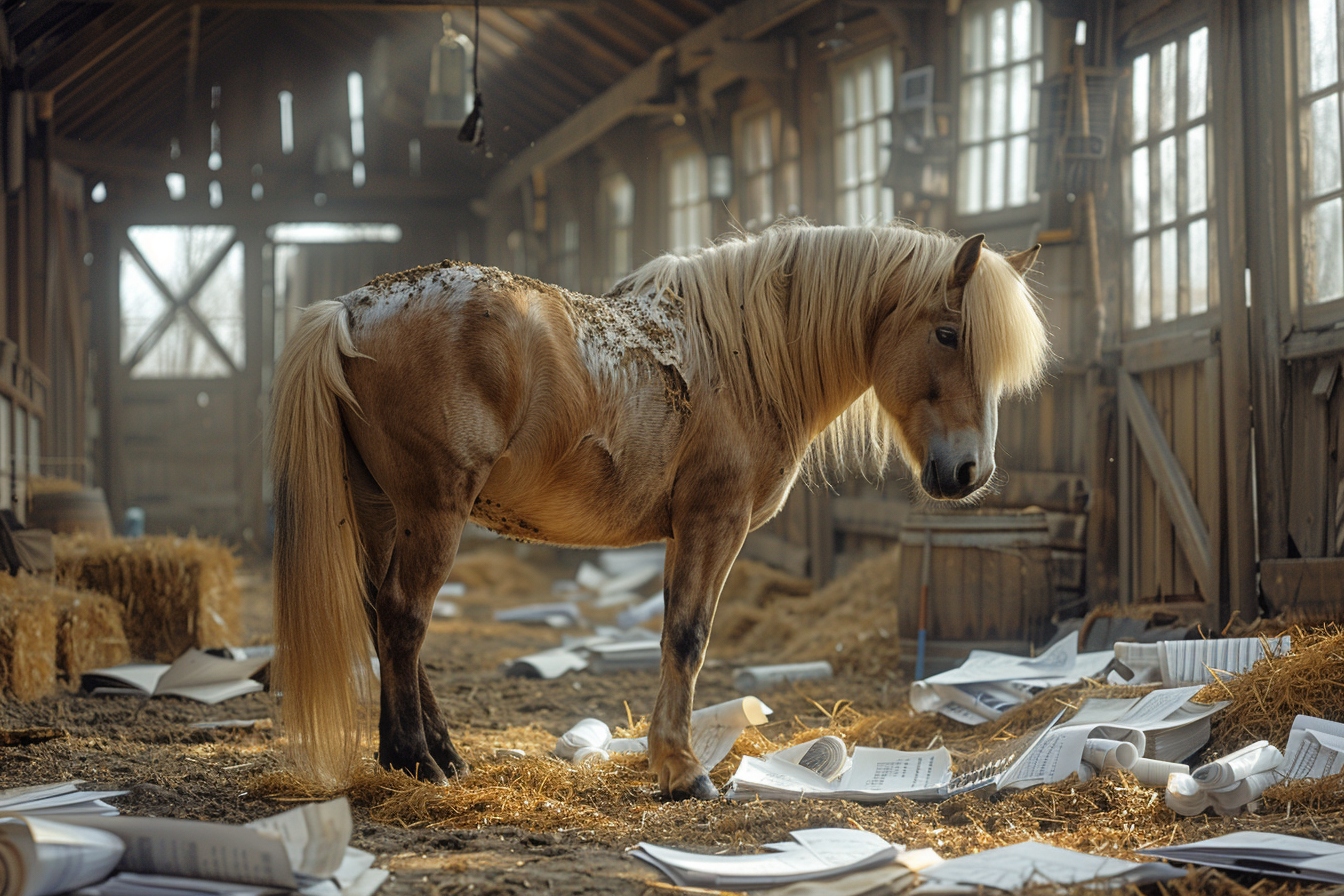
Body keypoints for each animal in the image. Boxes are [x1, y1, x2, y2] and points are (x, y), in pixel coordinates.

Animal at [269, 220, 1049, 800]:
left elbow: (679, 633)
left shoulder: (687, 532)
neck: (743, 359)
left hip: (381, 510)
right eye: (948, 334)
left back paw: (437, 753)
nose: (970, 472)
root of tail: (349, 310)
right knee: (404, 617)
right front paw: (681, 770)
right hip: (432, 508)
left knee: (382, 612)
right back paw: (416, 759)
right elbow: (686, 639)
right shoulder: (713, 523)